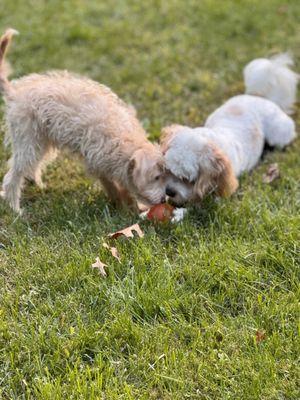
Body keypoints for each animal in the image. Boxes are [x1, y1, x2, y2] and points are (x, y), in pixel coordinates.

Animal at [0, 29, 165, 214]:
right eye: (157, 177)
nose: (164, 199)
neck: (123, 138)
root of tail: (15, 93)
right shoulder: (98, 163)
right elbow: (113, 187)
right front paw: (123, 207)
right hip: (28, 142)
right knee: (12, 177)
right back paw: (15, 209)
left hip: (41, 142)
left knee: (32, 167)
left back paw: (39, 186)